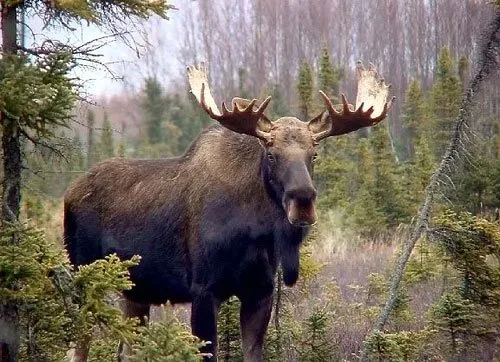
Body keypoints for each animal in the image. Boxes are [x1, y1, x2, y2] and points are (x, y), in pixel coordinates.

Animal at [64, 60, 394, 360]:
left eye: (314, 155)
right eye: (271, 154)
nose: (303, 201)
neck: (257, 232)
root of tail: (70, 192)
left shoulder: (259, 292)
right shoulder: (203, 289)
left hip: (136, 291)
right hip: (84, 278)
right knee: (78, 347)